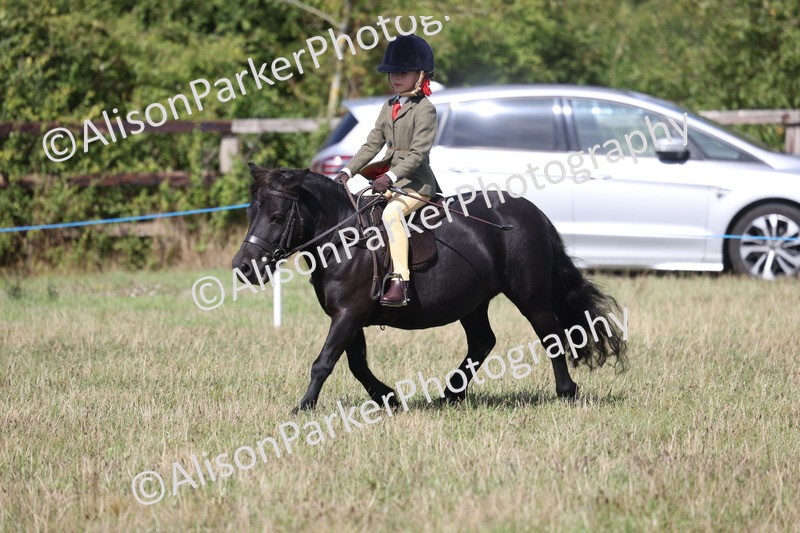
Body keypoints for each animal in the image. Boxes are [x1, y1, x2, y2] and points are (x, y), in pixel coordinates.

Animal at [232, 164, 628, 412]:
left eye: (277, 217)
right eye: (250, 212)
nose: (243, 268)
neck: (344, 240)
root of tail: (531, 211)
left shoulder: (349, 314)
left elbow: (324, 362)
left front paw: (303, 407)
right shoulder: (348, 316)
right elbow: (356, 364)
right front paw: (389, 399)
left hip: (529, 297)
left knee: (551, 336)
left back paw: (566, 392)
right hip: (473, 302)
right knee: (483, 341)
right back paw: (450, 395)